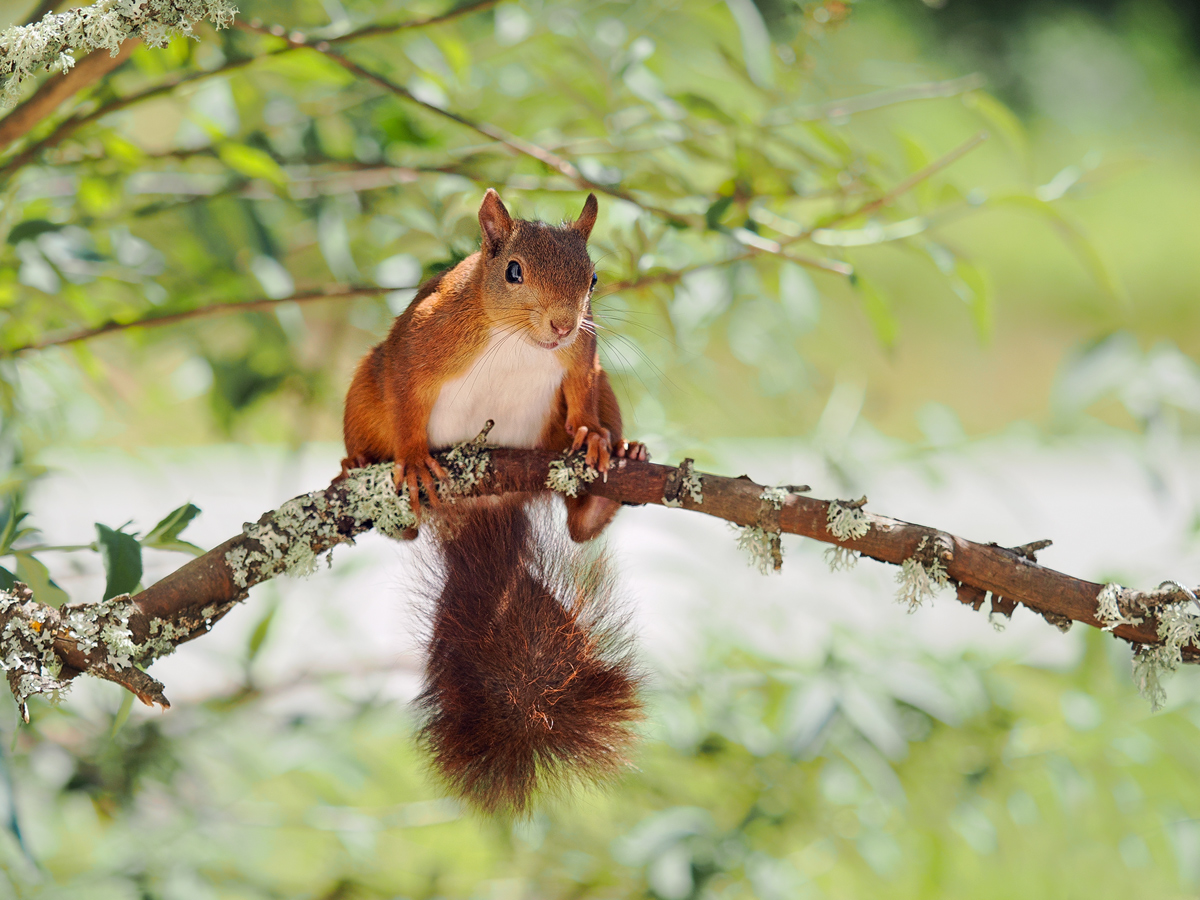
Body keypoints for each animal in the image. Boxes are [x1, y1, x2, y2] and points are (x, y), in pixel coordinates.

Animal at [340, 189, 646, 814]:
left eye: (593, 278)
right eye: (513, 272)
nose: (562, 323)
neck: (518, 343)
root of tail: (478, 515)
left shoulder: (584, 356)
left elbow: (581, 394)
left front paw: (593, 436)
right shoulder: (418, 345)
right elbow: (406, 400)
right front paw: (412, 459)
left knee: (580, 527)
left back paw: (611, 469)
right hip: (364, 386)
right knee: (400, 517)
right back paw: (357, 466)